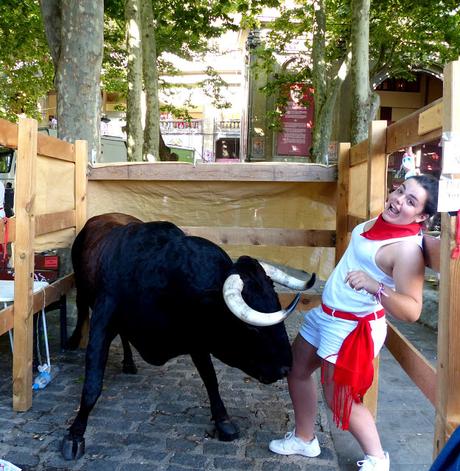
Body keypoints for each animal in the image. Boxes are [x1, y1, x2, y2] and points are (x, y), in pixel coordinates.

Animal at [62, 214, 316, 460]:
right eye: (251, 328)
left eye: (276, 303)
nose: (286, 368)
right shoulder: (103, 320)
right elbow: (93, 383)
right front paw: (75, 434)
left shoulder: (196, 337)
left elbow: (210, 378)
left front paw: (223, 421)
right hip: (83, 289)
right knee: (82, 307)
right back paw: (73, 342)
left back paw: (129, 363)